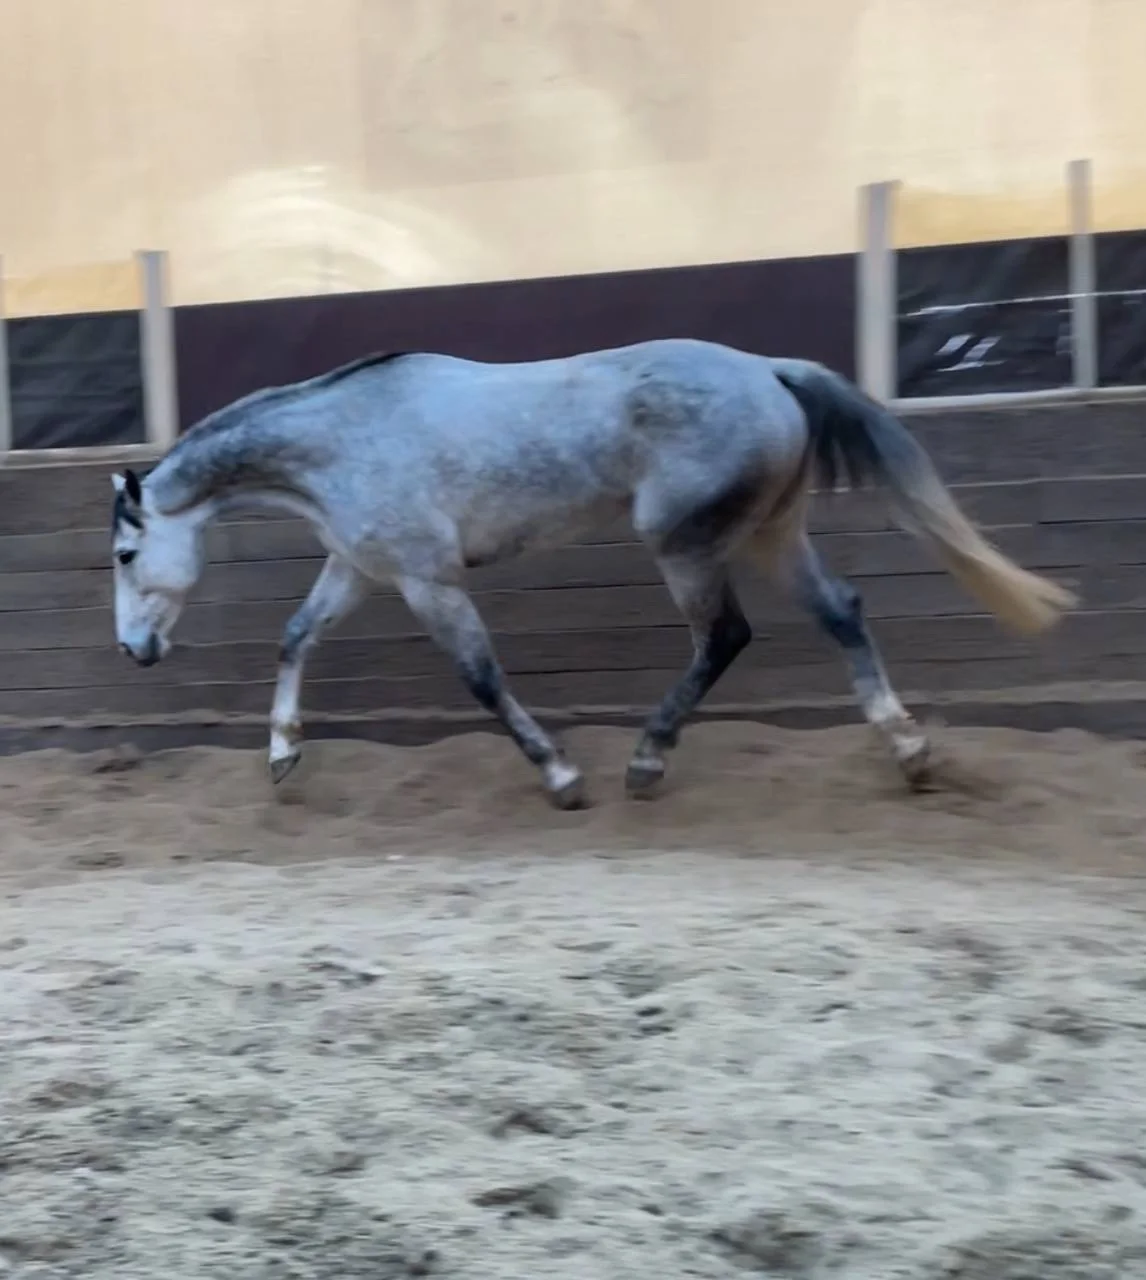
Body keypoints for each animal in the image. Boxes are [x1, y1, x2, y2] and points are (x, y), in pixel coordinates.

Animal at [110, 338, 1077, 808]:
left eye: (123, 555)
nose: (132, 650)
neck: (343, 439)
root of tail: (769, 372)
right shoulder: (360, 566)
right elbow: (295, 635)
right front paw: (282, 758)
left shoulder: (429, 580)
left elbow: (482, 679)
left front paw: (562, 779)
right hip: (771, 532)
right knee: (841, 610)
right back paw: (909, 754)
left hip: (684, 544)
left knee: (724, 637)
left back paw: (646, 763)